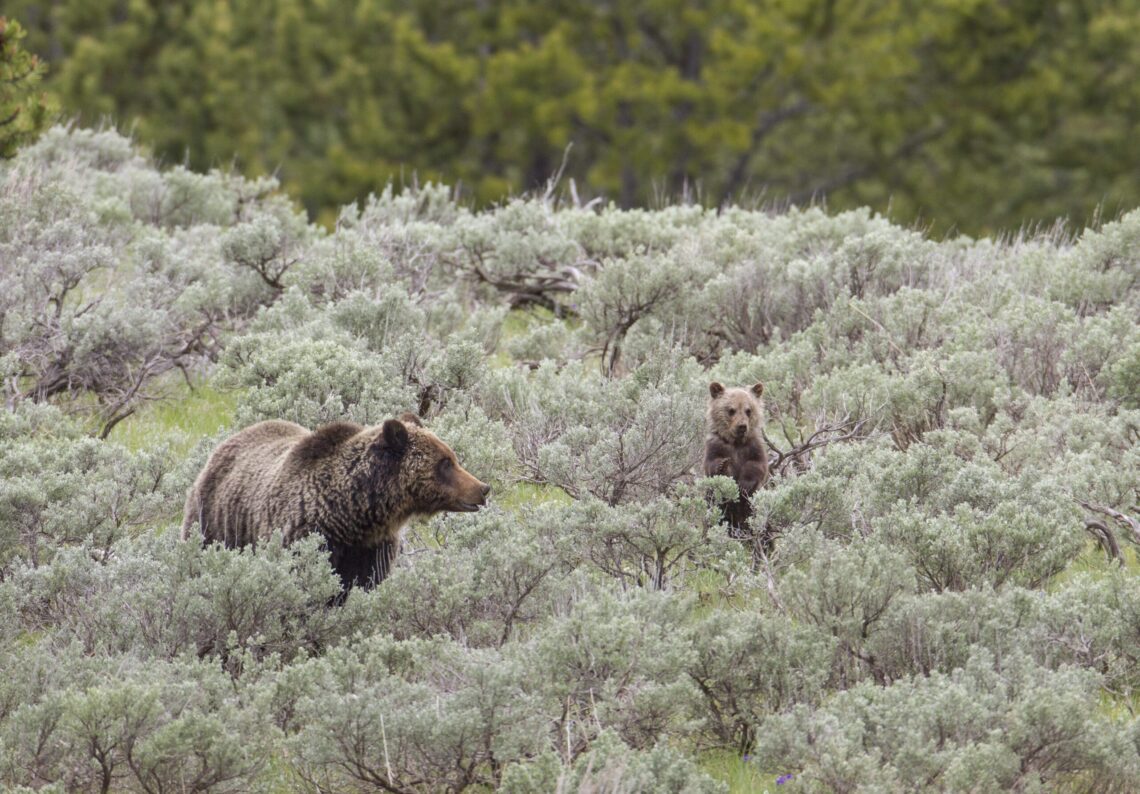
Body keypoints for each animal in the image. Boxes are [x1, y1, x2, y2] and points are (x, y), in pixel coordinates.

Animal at [182, 412, 490, 592]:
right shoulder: (305, 535)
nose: (483, 489)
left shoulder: (372, 549)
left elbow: (366, 584)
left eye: (452, 457)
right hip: (213, 523)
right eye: (445, 463)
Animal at [702, 382, 770, 540]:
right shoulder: (716, 445)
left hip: (756, 513)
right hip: (717, 510)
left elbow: (757, 466)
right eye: (731, 410)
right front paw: (723, 466)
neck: (736, 443)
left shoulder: (754, 447)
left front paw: (744, 484)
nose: (742, 426)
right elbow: (711, 464)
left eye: (748, 410)